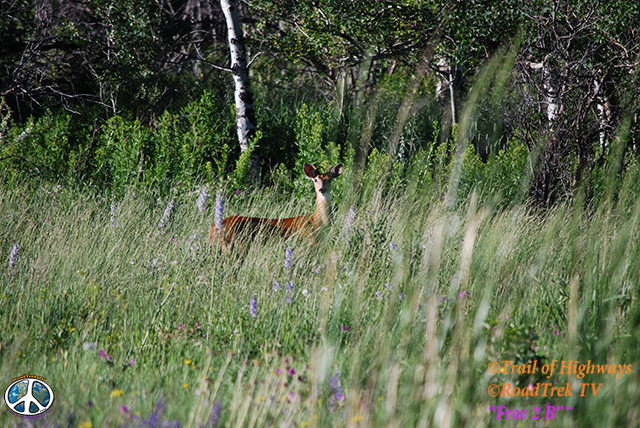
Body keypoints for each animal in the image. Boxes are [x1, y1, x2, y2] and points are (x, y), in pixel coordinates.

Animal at [210, 162, 342, 249]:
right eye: (315, 180)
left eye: (329, 180)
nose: (321, 189)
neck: (317, 221)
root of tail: (214, 228)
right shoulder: (308, 241)